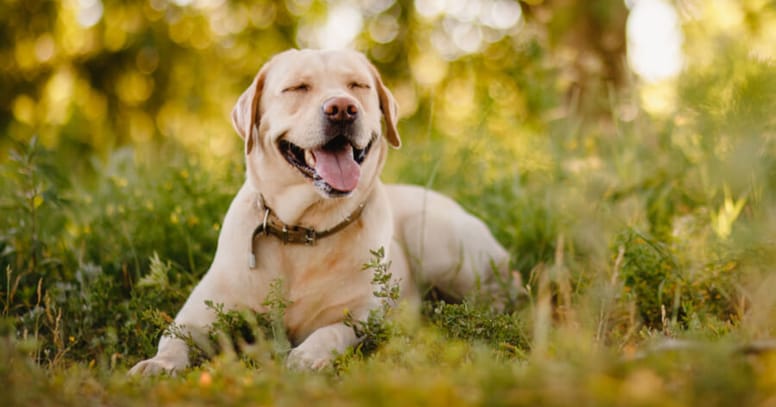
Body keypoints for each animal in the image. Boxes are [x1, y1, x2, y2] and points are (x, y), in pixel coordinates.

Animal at [129, 48, 510, 376]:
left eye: (357, 86)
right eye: (298, 87)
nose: (342, 108)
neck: (303, 229)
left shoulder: (362, 315)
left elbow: (331, 331)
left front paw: (307, 356)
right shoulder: (199, 313)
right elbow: (173, 338)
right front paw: (157, 365)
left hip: (435, 239)